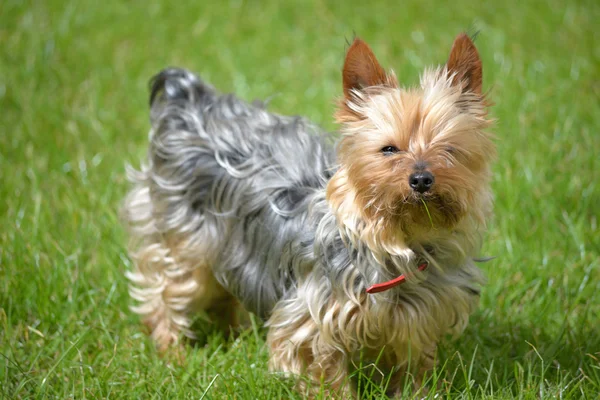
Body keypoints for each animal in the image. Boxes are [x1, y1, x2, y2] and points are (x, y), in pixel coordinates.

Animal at [122, 32, 492, 396]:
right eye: (389, 149)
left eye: (449, 150)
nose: (421, 179)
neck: (399, 243)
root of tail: (188, 104)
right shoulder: (312, 320)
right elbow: (325, 373)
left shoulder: (421, 317)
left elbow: (414, 369)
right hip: (185, 244)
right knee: (164, 294)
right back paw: (174, 355)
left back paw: (234, 336)